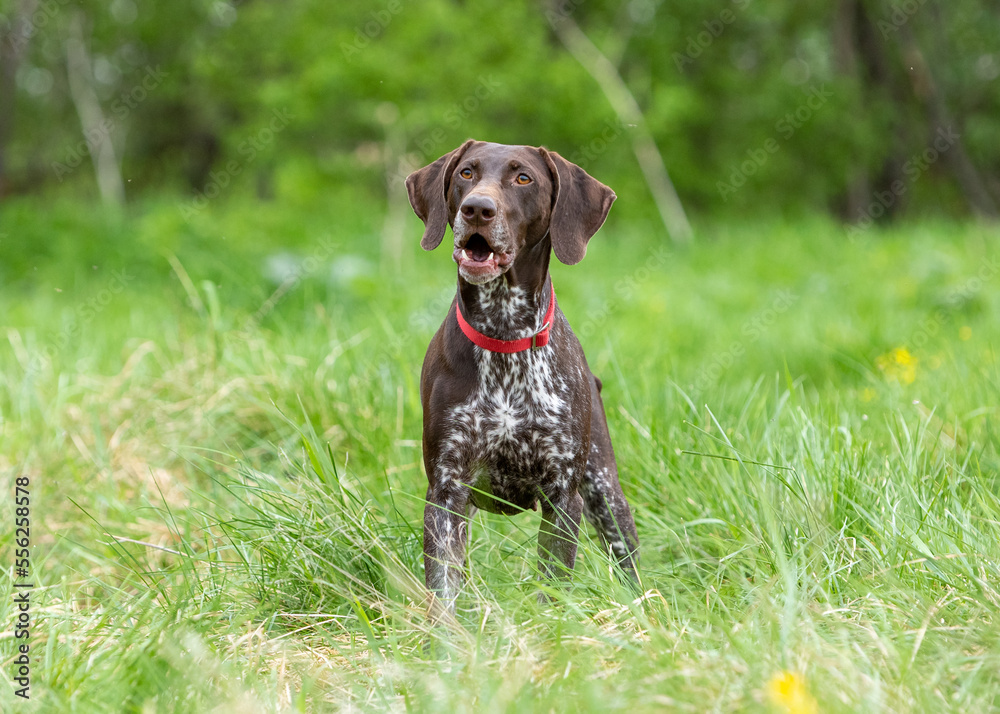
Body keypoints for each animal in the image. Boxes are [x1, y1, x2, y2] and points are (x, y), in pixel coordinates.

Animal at [406, 139, 640, 612]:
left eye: (523, 178)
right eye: (466, 173)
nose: (478, 209)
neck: (505, 335)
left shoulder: (563, 496)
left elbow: (552, 585)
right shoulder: (446, 493)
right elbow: (444, 591)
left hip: (604, 491)